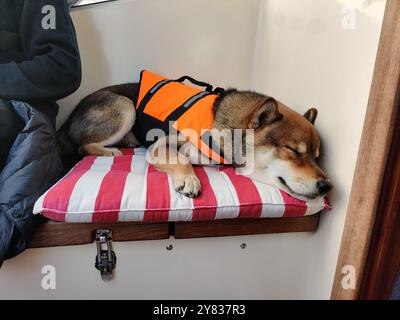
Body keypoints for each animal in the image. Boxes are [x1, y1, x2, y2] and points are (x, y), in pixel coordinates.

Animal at [58, 71, 332, 200]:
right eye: (294, 150)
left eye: (317, 157)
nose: (327, 186)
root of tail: (69, 117)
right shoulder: (160, 146)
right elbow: (180, 158)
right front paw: (189, 180)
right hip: (125, 107)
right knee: (82, 146)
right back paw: (110, 150)